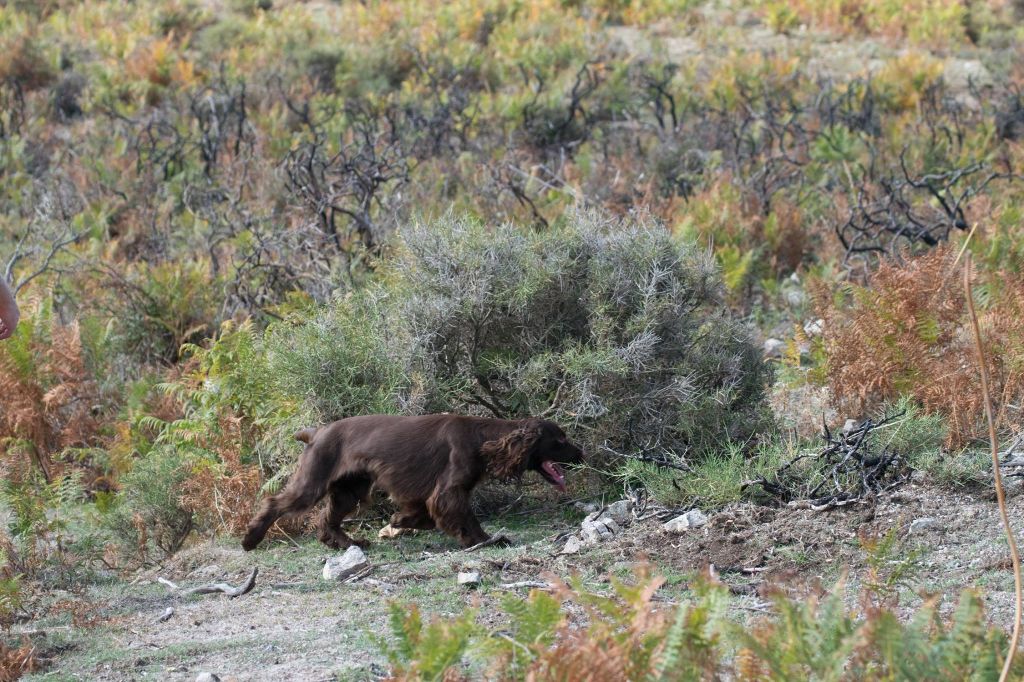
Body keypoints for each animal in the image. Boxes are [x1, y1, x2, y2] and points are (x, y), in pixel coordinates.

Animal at [238, 411, 585, 548]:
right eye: (560, 440)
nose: (582, 454)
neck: (483, 439)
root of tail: (316, 432)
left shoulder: (426, 493)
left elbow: (422, 515)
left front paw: (400, 521)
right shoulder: (449, 490)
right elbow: (465, 517)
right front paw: (484, 540)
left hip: (351, 489)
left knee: (328, 519)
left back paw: (348, 543)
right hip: (313, 483)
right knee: (275, 503)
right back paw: (250, 539)